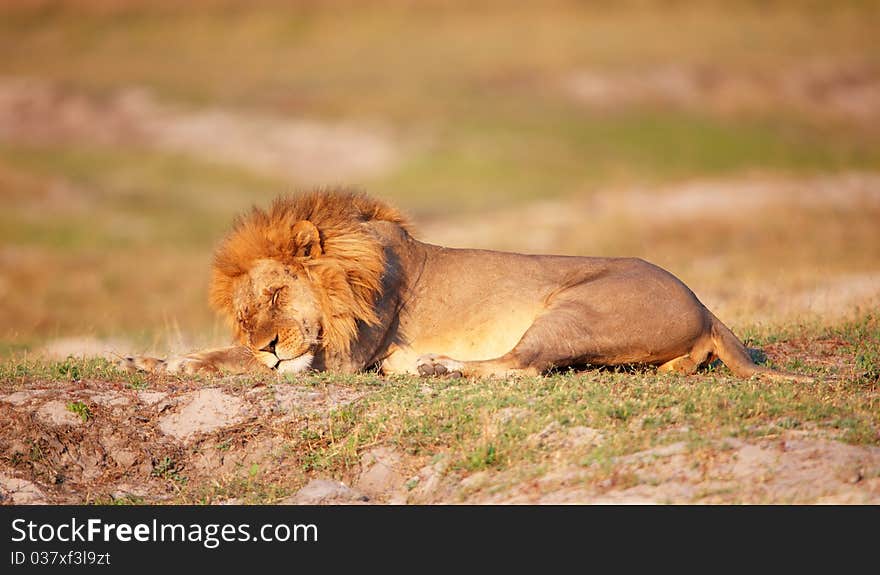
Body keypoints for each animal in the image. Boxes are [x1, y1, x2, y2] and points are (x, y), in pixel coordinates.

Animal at [122, 189, 812, 384]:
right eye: (245, 313)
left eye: (275, 297)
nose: (268, 344)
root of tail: (705, 305)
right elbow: (223, 353)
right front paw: (147, 359)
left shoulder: (345, 358)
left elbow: (235, 362)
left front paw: (179, 363)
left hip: (576, 308)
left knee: (522, 367)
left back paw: (433, 366)